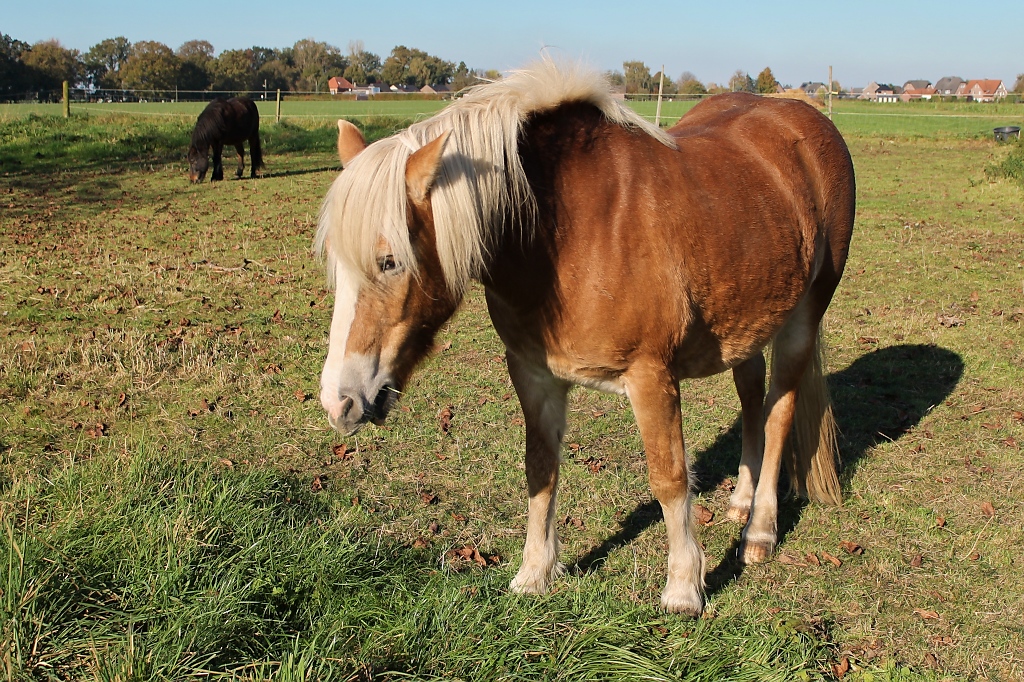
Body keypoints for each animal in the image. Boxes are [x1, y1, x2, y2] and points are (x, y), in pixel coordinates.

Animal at [313, 62, 856, 614]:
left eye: (389, 261)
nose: (340, 403)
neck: (564, 234)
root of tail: (804, 118)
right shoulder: (534, 374)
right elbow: (540, 469)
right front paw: (534, 573)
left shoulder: (651, 378)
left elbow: (669, 478)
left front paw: (684, 588)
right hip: (746, 321)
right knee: (751, 400)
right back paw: (741, 502)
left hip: (802, 318)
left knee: (779, 414)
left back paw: (759, 532)